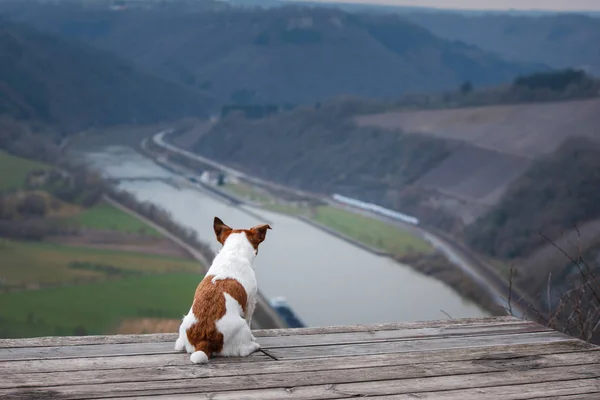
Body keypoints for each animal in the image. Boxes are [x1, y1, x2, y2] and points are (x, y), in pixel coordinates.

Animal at [175, 217, 270, 364]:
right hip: (241, 327)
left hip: (184, 324)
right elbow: (249, 321)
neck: (233, 253)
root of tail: (204, 340)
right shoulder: (250, 303)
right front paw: (253, 338)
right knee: (243, 349)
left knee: (179, 344)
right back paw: (253, 346)